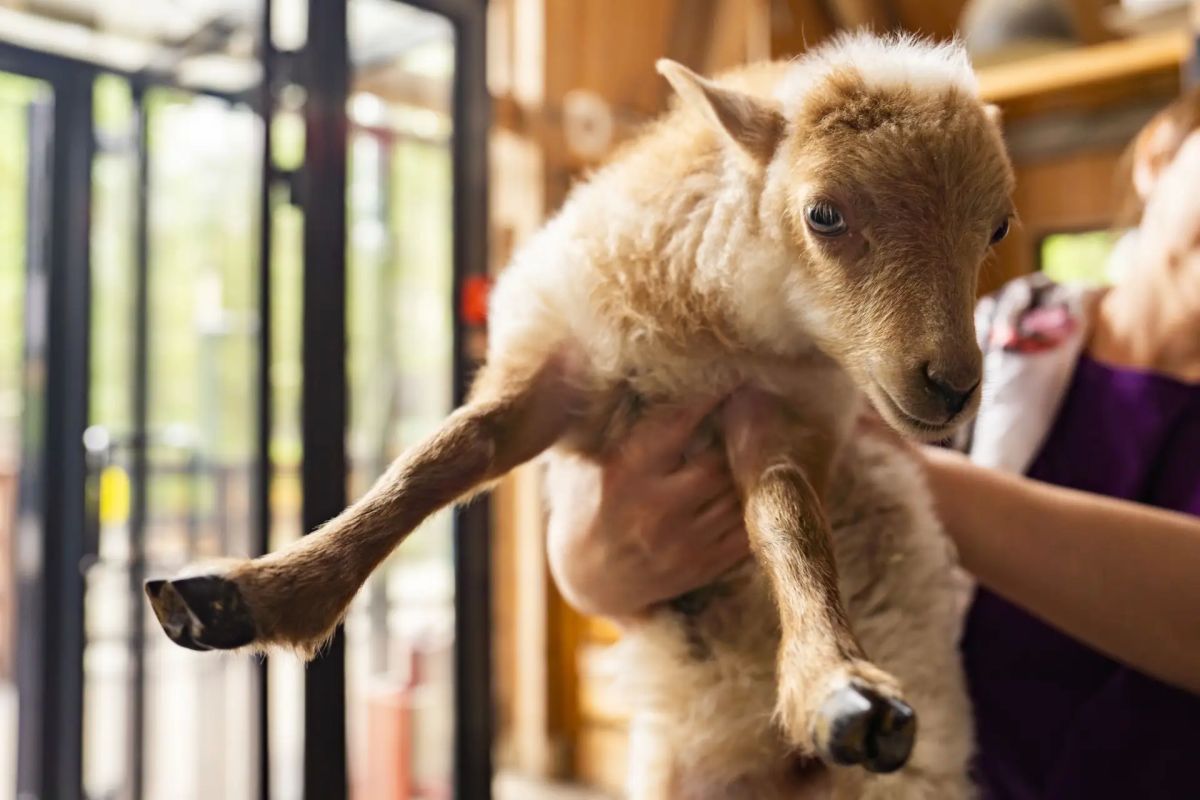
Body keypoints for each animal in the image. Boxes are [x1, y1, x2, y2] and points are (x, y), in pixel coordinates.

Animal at [146, 32, 1014, 798]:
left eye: (998, 226)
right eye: (824, 215)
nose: (955, 386)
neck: (715, 331)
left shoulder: (780, 417)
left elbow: (789, 524)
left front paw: (837, 685)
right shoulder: (557, 373)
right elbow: (437, 460)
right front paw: (258, 591)